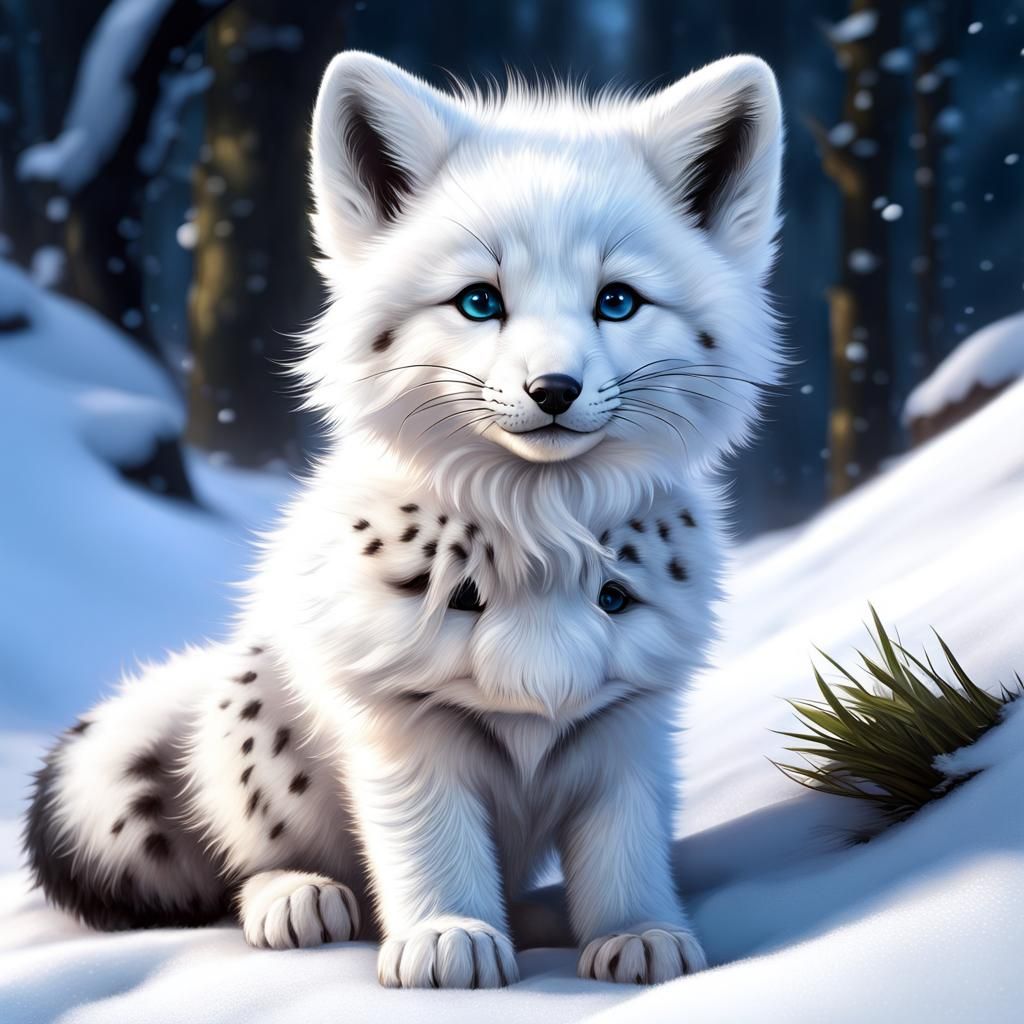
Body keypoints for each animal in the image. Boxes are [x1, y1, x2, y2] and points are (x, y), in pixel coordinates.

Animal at [24, 51, 783, 988]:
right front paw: (447, 936)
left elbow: (624, 849)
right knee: (253, 863)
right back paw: (299, 897)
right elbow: (431, 848)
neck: (538, 540)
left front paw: (637, 934)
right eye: (479, 302)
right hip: (257, 719)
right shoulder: (400, 724)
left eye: (616, 302)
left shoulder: (630, 723)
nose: (554, 390)